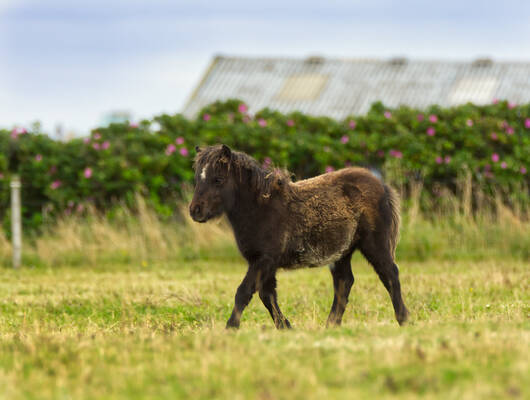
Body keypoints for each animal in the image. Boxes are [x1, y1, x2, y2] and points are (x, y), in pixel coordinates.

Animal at [190, 144, 408, 328]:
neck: (260, 208)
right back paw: (331, 326)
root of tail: (382, 185)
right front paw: (285, 327)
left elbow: (244, 292)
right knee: (344, 282)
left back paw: (403, 320)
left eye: (218, 179)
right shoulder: (264, 263)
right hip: (342, 252)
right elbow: (267, 296)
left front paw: (230, 328)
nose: (195, 211)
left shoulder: (264, 260)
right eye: (197, 179)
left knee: (389, 274)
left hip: (374, 244)